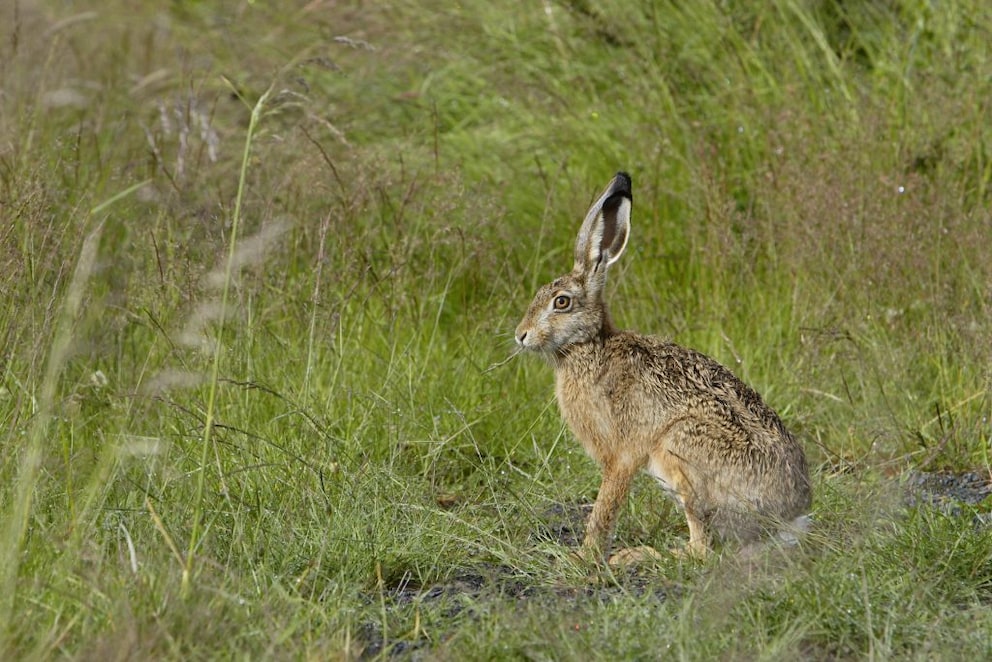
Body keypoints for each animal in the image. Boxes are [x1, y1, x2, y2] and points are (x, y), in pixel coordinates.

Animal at [515, 172, 811, 563]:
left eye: (561, 302)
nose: (521, 335)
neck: (588, 347)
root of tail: (789, 518)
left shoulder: (623, 453)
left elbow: (606, 505)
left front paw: (585, 556)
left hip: (680, 451)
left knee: (702, 549)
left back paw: (639, 555)